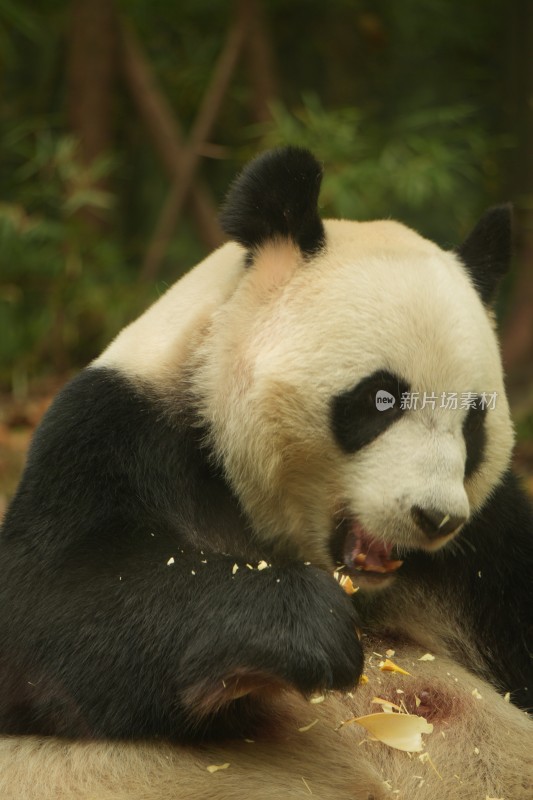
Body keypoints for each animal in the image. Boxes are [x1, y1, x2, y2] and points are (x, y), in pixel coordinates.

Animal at [0, 145, 528, 800]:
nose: (435, 518)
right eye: (382, 399)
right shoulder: (116, 432)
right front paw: (310, 629)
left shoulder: (492, 549)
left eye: (473, 420)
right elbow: (47, 601)